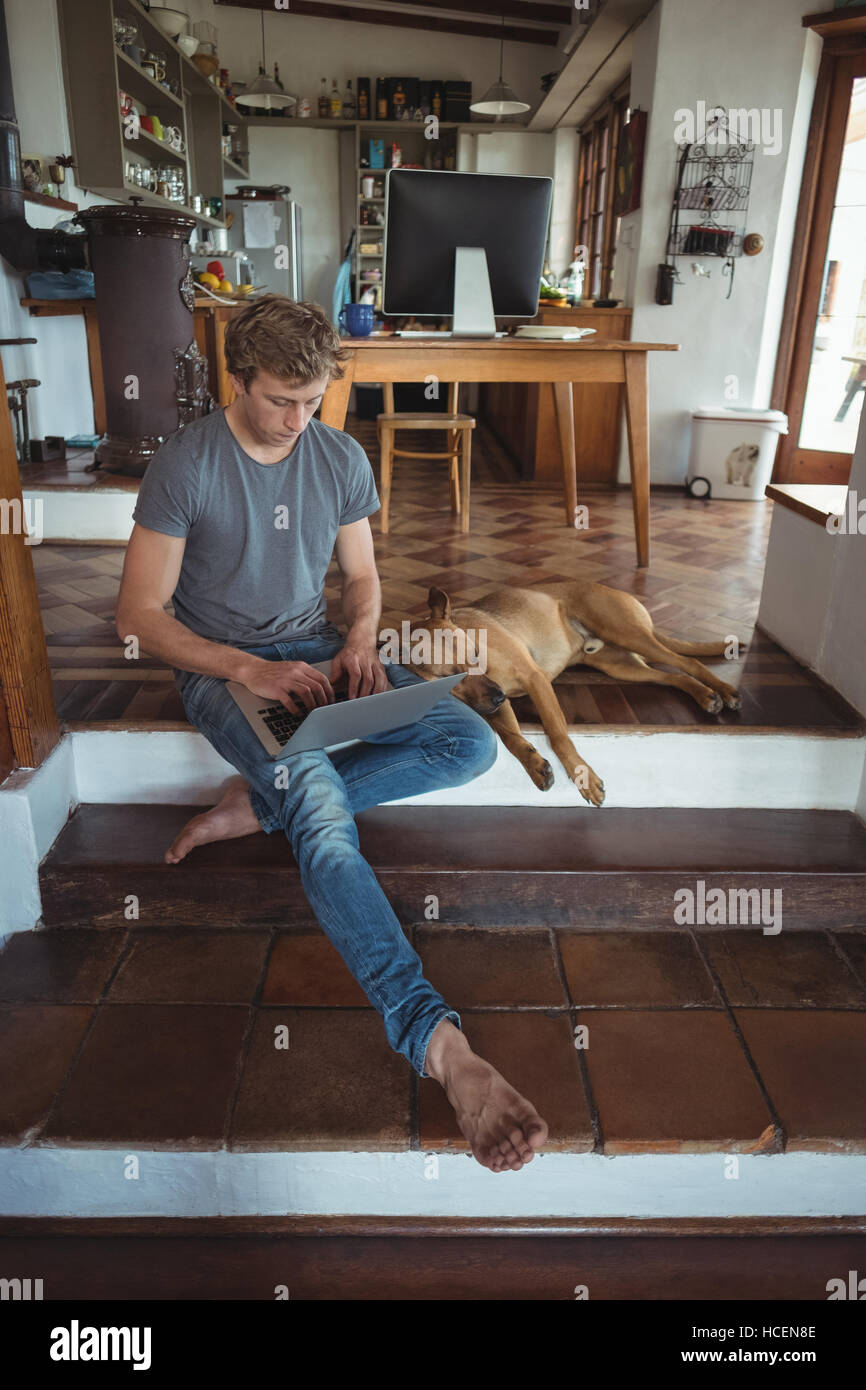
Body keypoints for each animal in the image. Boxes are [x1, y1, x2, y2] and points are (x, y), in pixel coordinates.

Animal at [408, 581, 739, 811]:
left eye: (475, 655)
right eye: (450, 677)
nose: (500, 697)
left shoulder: (535, 680)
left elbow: (558, 735)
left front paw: (583, 777)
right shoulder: (494, 702)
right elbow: (511, 737)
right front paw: (535, 764)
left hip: (629, 634)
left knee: (688, 662)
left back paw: (723, 690)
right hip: (620, 666)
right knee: (673, 676)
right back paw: (705, 695)